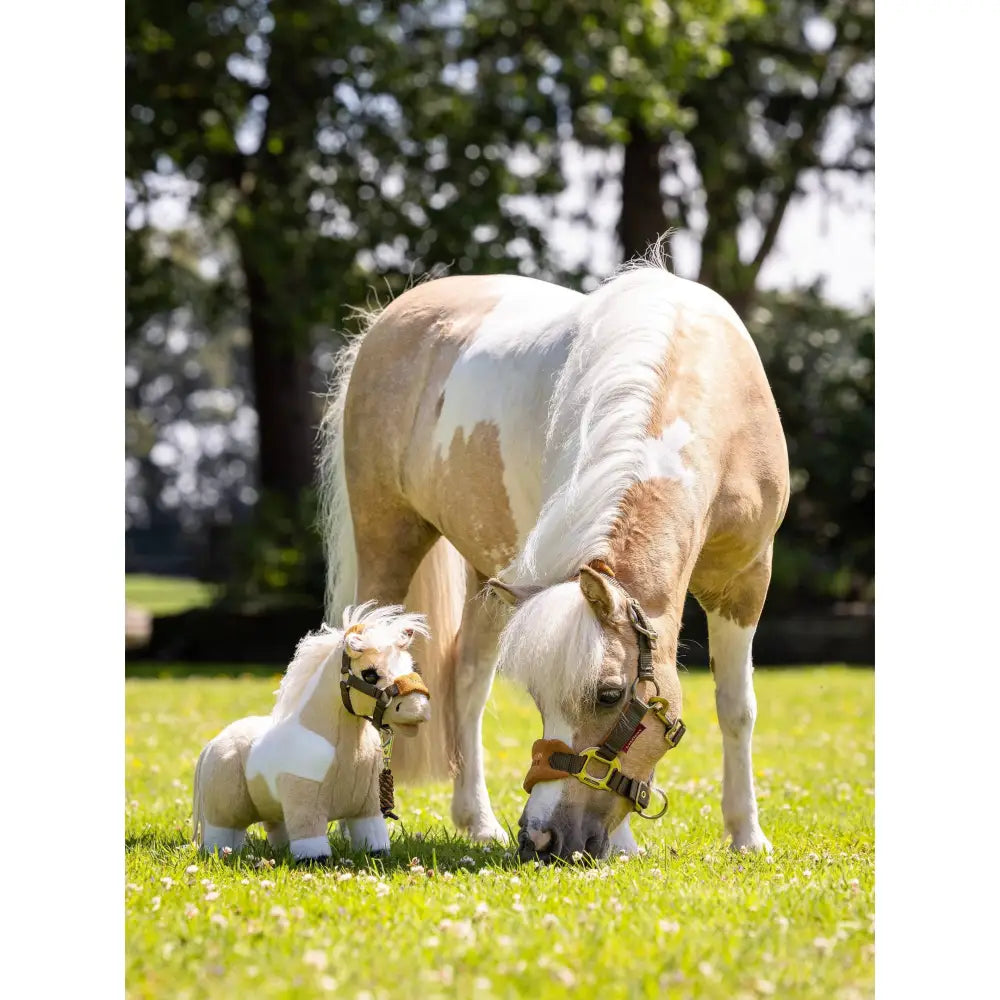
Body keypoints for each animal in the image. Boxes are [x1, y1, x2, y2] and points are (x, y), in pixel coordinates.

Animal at [320, 248, 788, 860]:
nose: (542, 839)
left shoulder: (745, 582)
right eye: (541, 698)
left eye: (610, 695)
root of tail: (388, 320)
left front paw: (747, 837)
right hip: (387, 540)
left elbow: (737, 709)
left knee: (466, 684)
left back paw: (478, 822)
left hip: (491, 577)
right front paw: (627, 846)